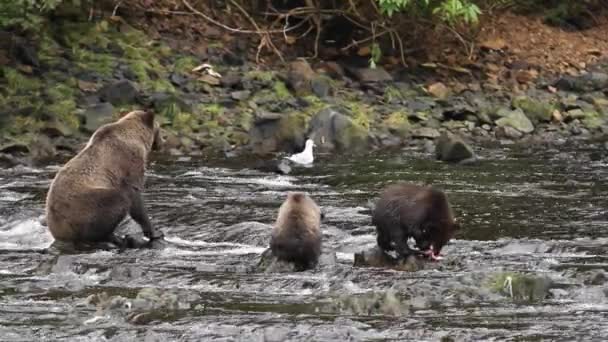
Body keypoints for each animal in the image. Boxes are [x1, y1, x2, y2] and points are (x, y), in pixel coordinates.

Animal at [44, 110, 164, 248]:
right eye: (160, 129)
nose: (162, 142)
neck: (137, 138)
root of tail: (57, 231)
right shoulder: (128, 163)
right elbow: (135, 196)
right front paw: (155, 232)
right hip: (84, 205)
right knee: (118, 200)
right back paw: (116, 237)